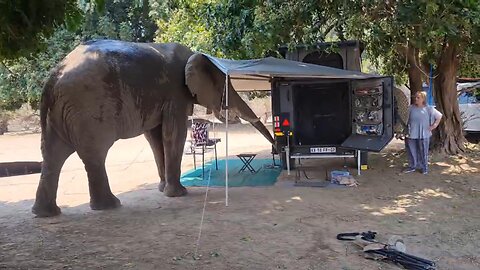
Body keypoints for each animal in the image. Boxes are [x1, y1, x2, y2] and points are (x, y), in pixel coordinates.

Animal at [31, 39, 274, 217]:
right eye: (223, 86)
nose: (275, 149)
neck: (194, 55)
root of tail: (53, 78)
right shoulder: (175, 93)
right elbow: (173, 133)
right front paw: (178, 194)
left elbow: (156, 137)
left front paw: (163, 190)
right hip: (87, 108)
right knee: (94, 154)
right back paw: (110, 206)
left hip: (59, 114)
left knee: (53, 155)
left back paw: (45, 214)